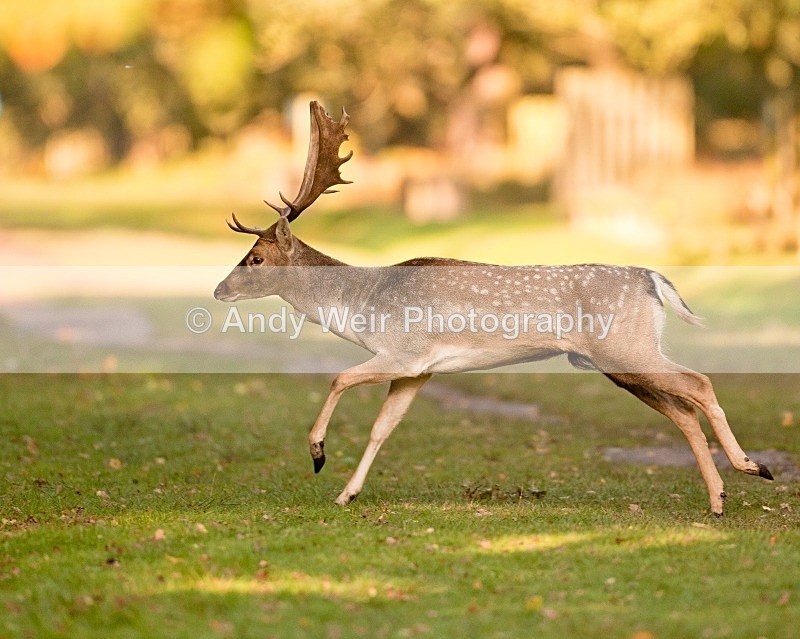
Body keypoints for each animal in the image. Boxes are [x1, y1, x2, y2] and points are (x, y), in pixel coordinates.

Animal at [214, 101, 773, 515]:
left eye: (256, 256)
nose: (219, 290)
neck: (362, 307)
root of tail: (652, 279)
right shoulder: (418, 371)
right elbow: (382, 427)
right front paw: (346, 492)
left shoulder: (403, 350)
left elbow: (339, 379)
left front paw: (317, 455)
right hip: (616, 362)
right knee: (683, 409)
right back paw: (718, 500)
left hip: (625, 347)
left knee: (698, 382)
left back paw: (753, 467)